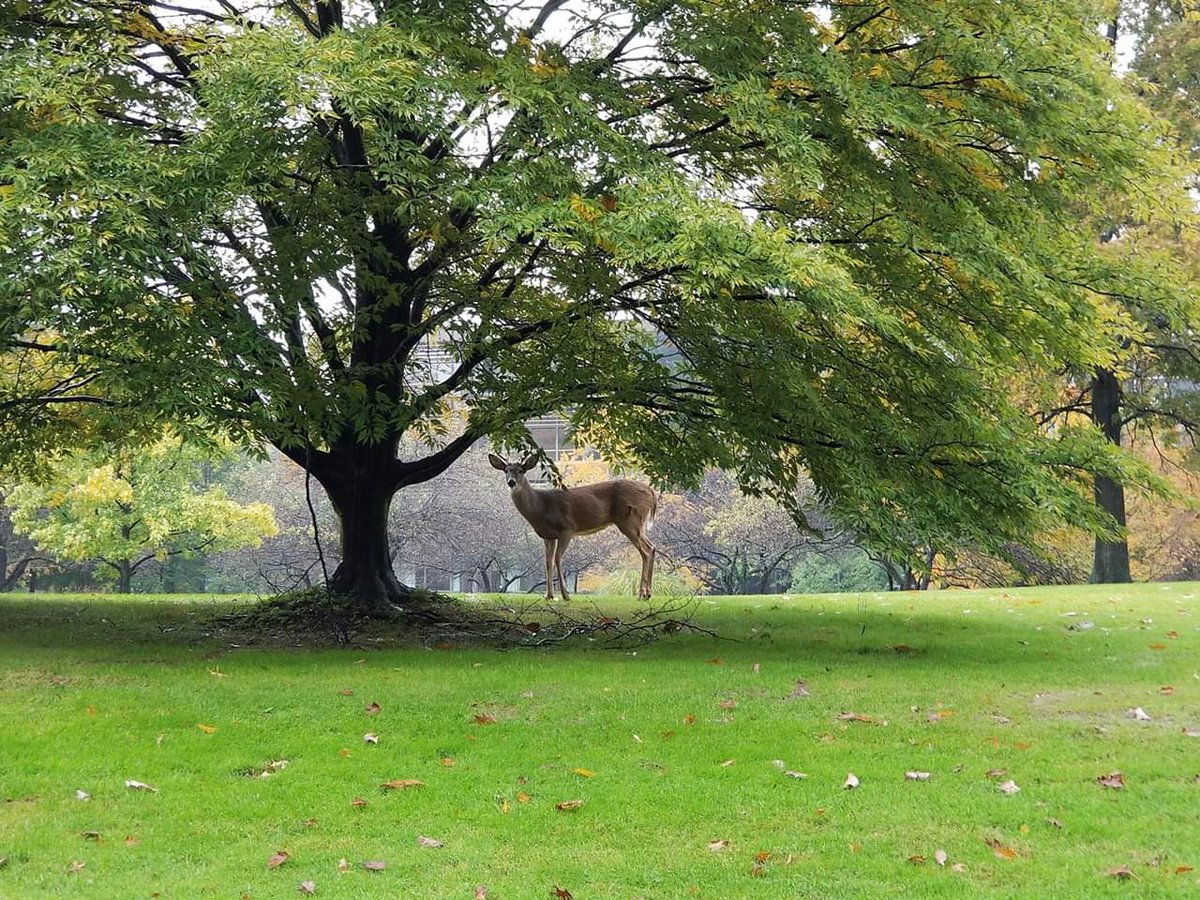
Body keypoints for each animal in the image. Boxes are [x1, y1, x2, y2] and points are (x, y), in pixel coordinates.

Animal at [488, 453, 658, 602]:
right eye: (506, 470)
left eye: (521, 470)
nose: (511, 482)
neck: (540, 507)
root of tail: (651, 492)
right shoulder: (548, 536)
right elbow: (548, 562)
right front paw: (549, 595)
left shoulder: (567, 528)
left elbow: (557, 558)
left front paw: (565, 595)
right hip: (637, 523)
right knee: (651, 547)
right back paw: (648, 594)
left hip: (629, 519)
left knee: (645, 552)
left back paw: (641, 594)